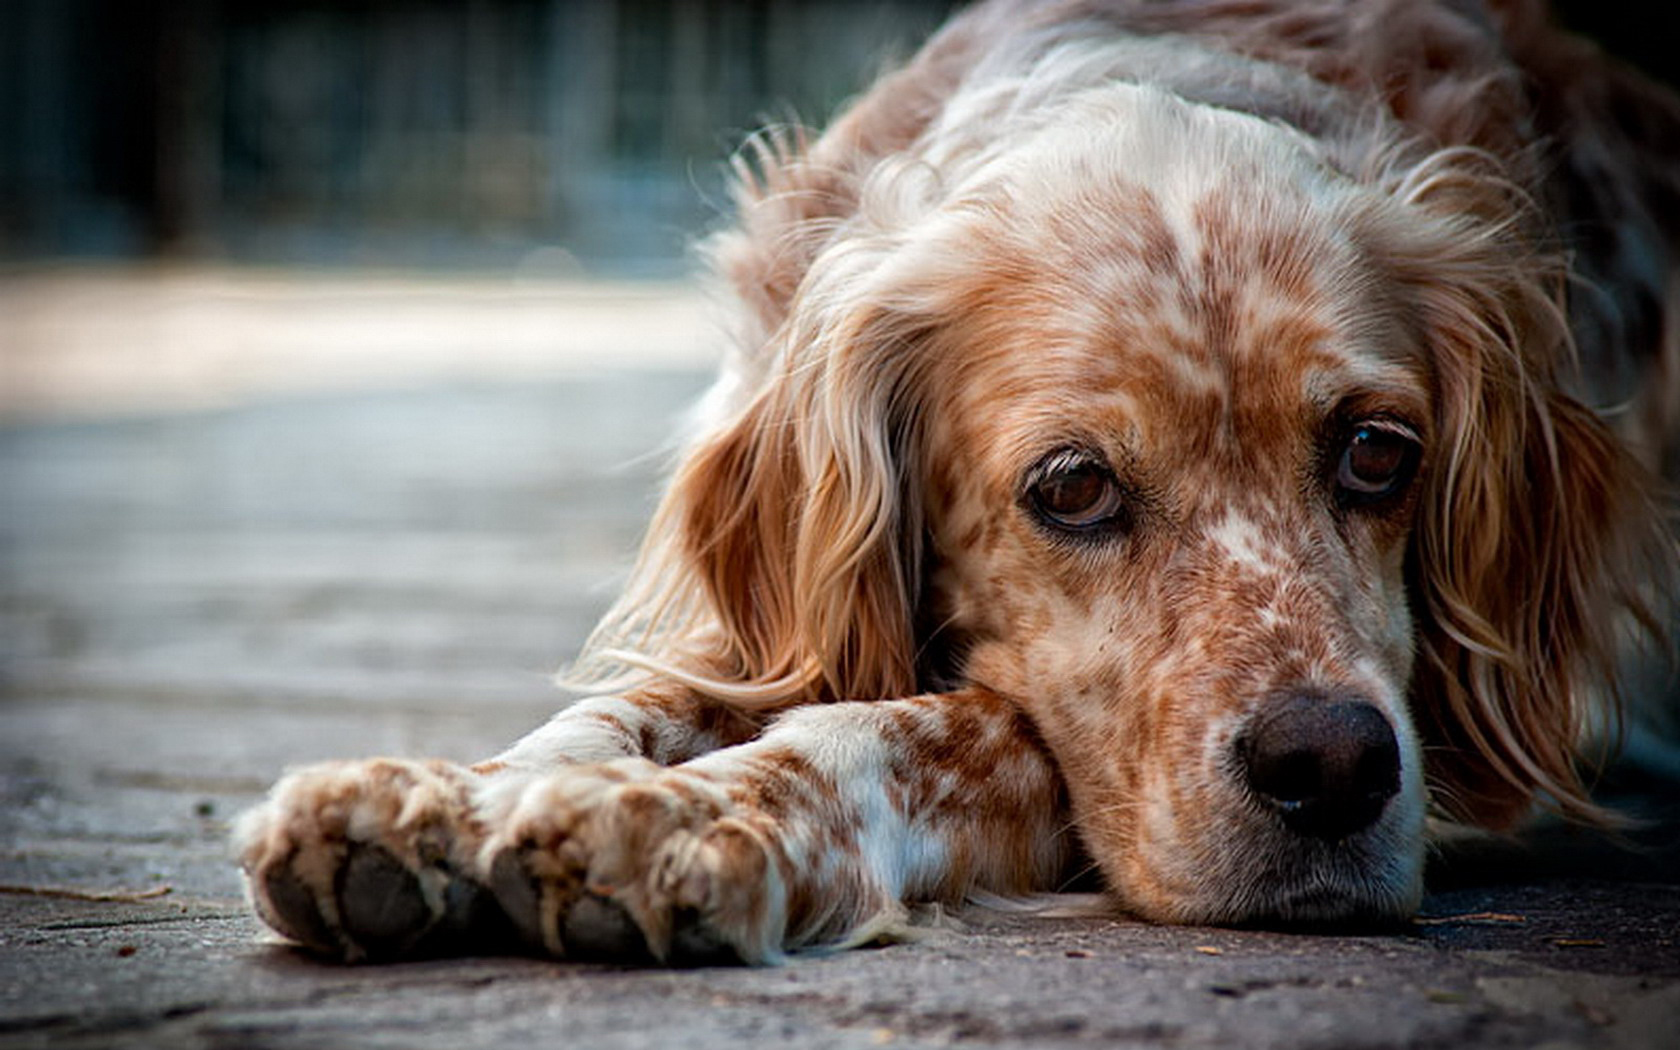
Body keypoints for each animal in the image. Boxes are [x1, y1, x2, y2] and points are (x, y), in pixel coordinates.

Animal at [236, 0, 1680, 960]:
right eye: (1074, 487)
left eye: (1380, 453)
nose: (1331, 769)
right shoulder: (772, 617)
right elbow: (627, 706)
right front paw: (437, 798)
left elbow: (940, 729)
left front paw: (690, 814)